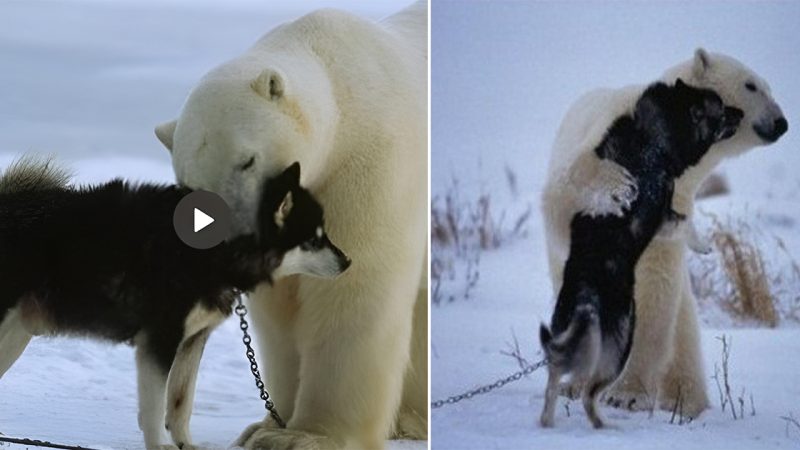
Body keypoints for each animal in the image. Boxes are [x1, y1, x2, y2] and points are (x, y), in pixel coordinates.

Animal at [0, 156, 350, 448]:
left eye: (323, 235)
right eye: (314, 240)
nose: (347, 261)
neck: (216, 248)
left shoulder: (192, 339)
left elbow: (181, 403)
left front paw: (186, 445)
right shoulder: (160, 340)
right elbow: (153, 410)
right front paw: (159, 445)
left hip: (15, 337)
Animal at [152, 1, 424, 448]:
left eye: (247, 160)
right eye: (190, 186)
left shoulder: (369, 164)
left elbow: (355, 288)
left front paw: (307, 435)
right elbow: (281, 307)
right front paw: (266, 426)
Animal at [544, 47, 788, 416]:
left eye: (769, 87)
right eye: (751, 85)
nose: (781, 122)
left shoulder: (678, 199)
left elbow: (656, 290)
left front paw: (629, 395)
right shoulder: (606, 141)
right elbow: (571, 188)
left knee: (682, 330)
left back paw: (687, 402)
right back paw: (575, 382)